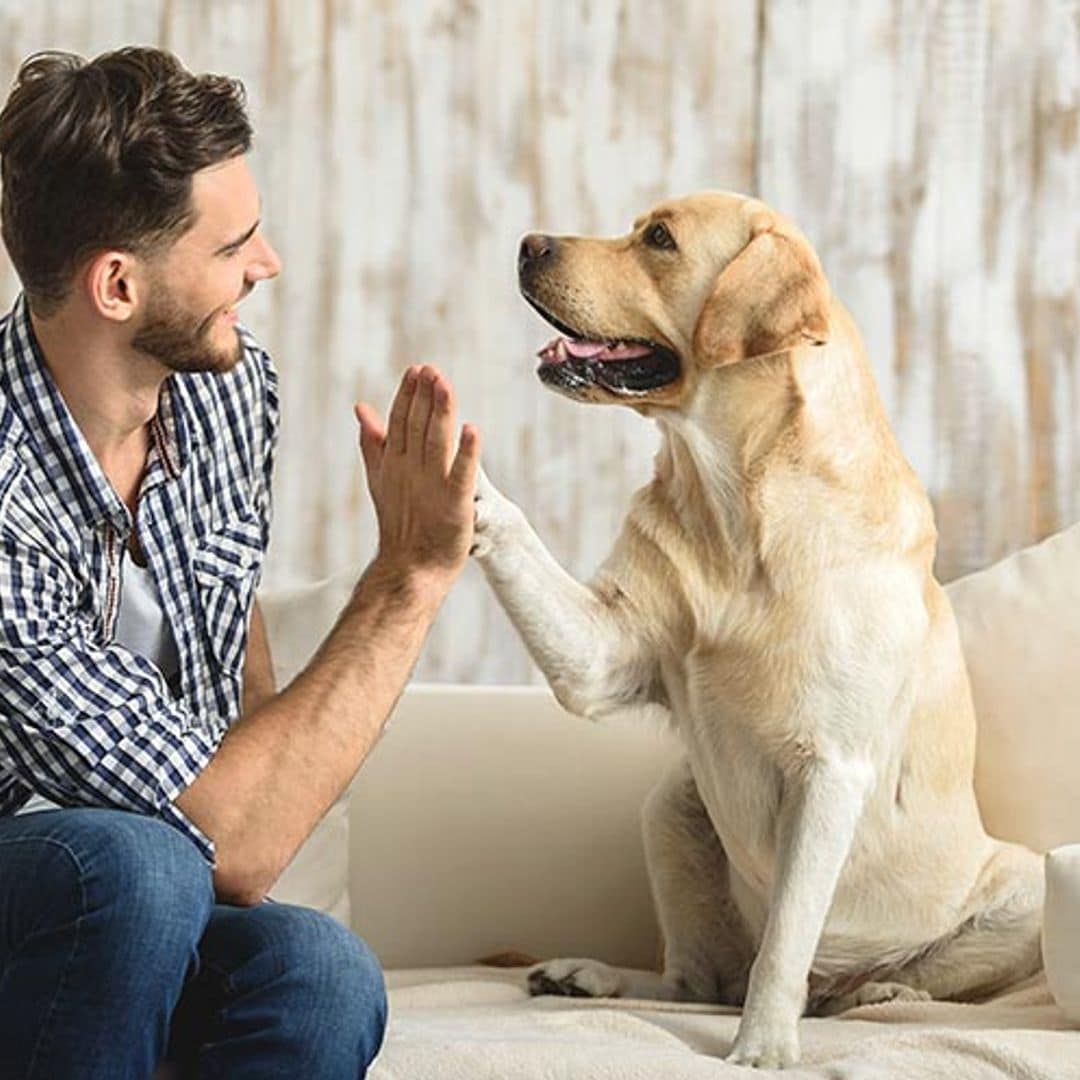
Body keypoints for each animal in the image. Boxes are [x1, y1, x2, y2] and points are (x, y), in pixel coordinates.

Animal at [473, 190, 1045, 1067]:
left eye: (660, 239)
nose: (529, 243)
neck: (736, 504)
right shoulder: (601, 655)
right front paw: (450, 471)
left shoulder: (830, 770)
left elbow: (786, 941)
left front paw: (764, 1047)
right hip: (672, 807)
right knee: (697, 982)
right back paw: (589, 976)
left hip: (1024, 888)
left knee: (860, 980)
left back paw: (875, 991)